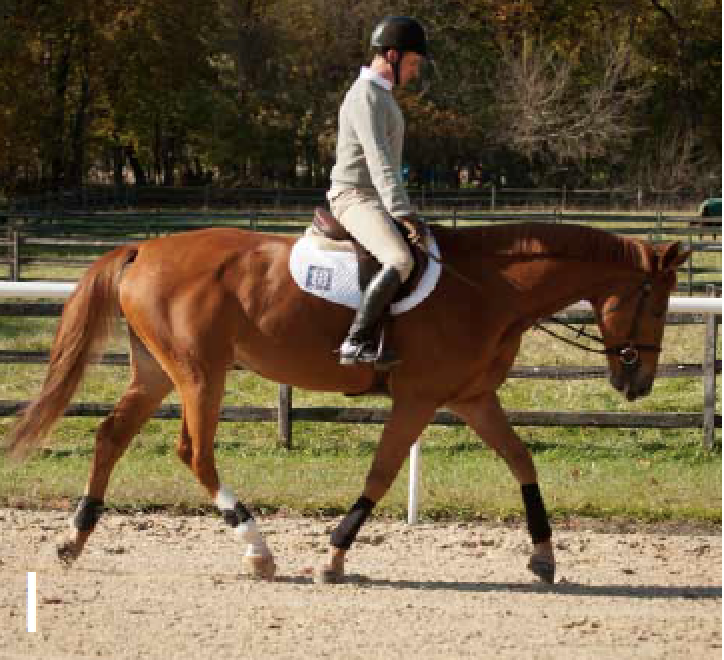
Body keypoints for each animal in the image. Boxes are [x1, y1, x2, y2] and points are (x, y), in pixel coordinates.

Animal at [5, 221, 689, 584]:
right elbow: (381, 474)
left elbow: (522, 461)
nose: (638, 384)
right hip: (200, 374)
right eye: (655, 303)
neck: (488, 288)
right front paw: (334, 555)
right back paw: (257, 549)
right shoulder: (419, 398)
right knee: (195, 454)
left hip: (157, 373)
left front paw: (543, 555)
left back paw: (74, 537)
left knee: (111, 437)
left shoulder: (471, 398)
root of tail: (143, 248)